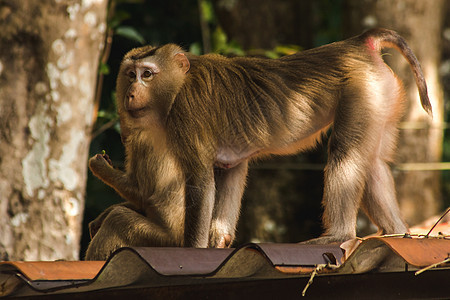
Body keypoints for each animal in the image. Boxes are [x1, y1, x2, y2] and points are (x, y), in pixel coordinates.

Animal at [87, 28, 428, 253]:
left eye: (147, 74)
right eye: (130, 75)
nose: (131, 93)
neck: (177, 88)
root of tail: (358, 43)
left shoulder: (186, 115)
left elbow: (200, 182)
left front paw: (193, 249)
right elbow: (228, 170)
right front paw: (218, 240)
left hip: (361, 90)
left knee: (346, 154)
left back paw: (338, 235)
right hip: (382, 94)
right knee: (373, 163)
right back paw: (397, 234)